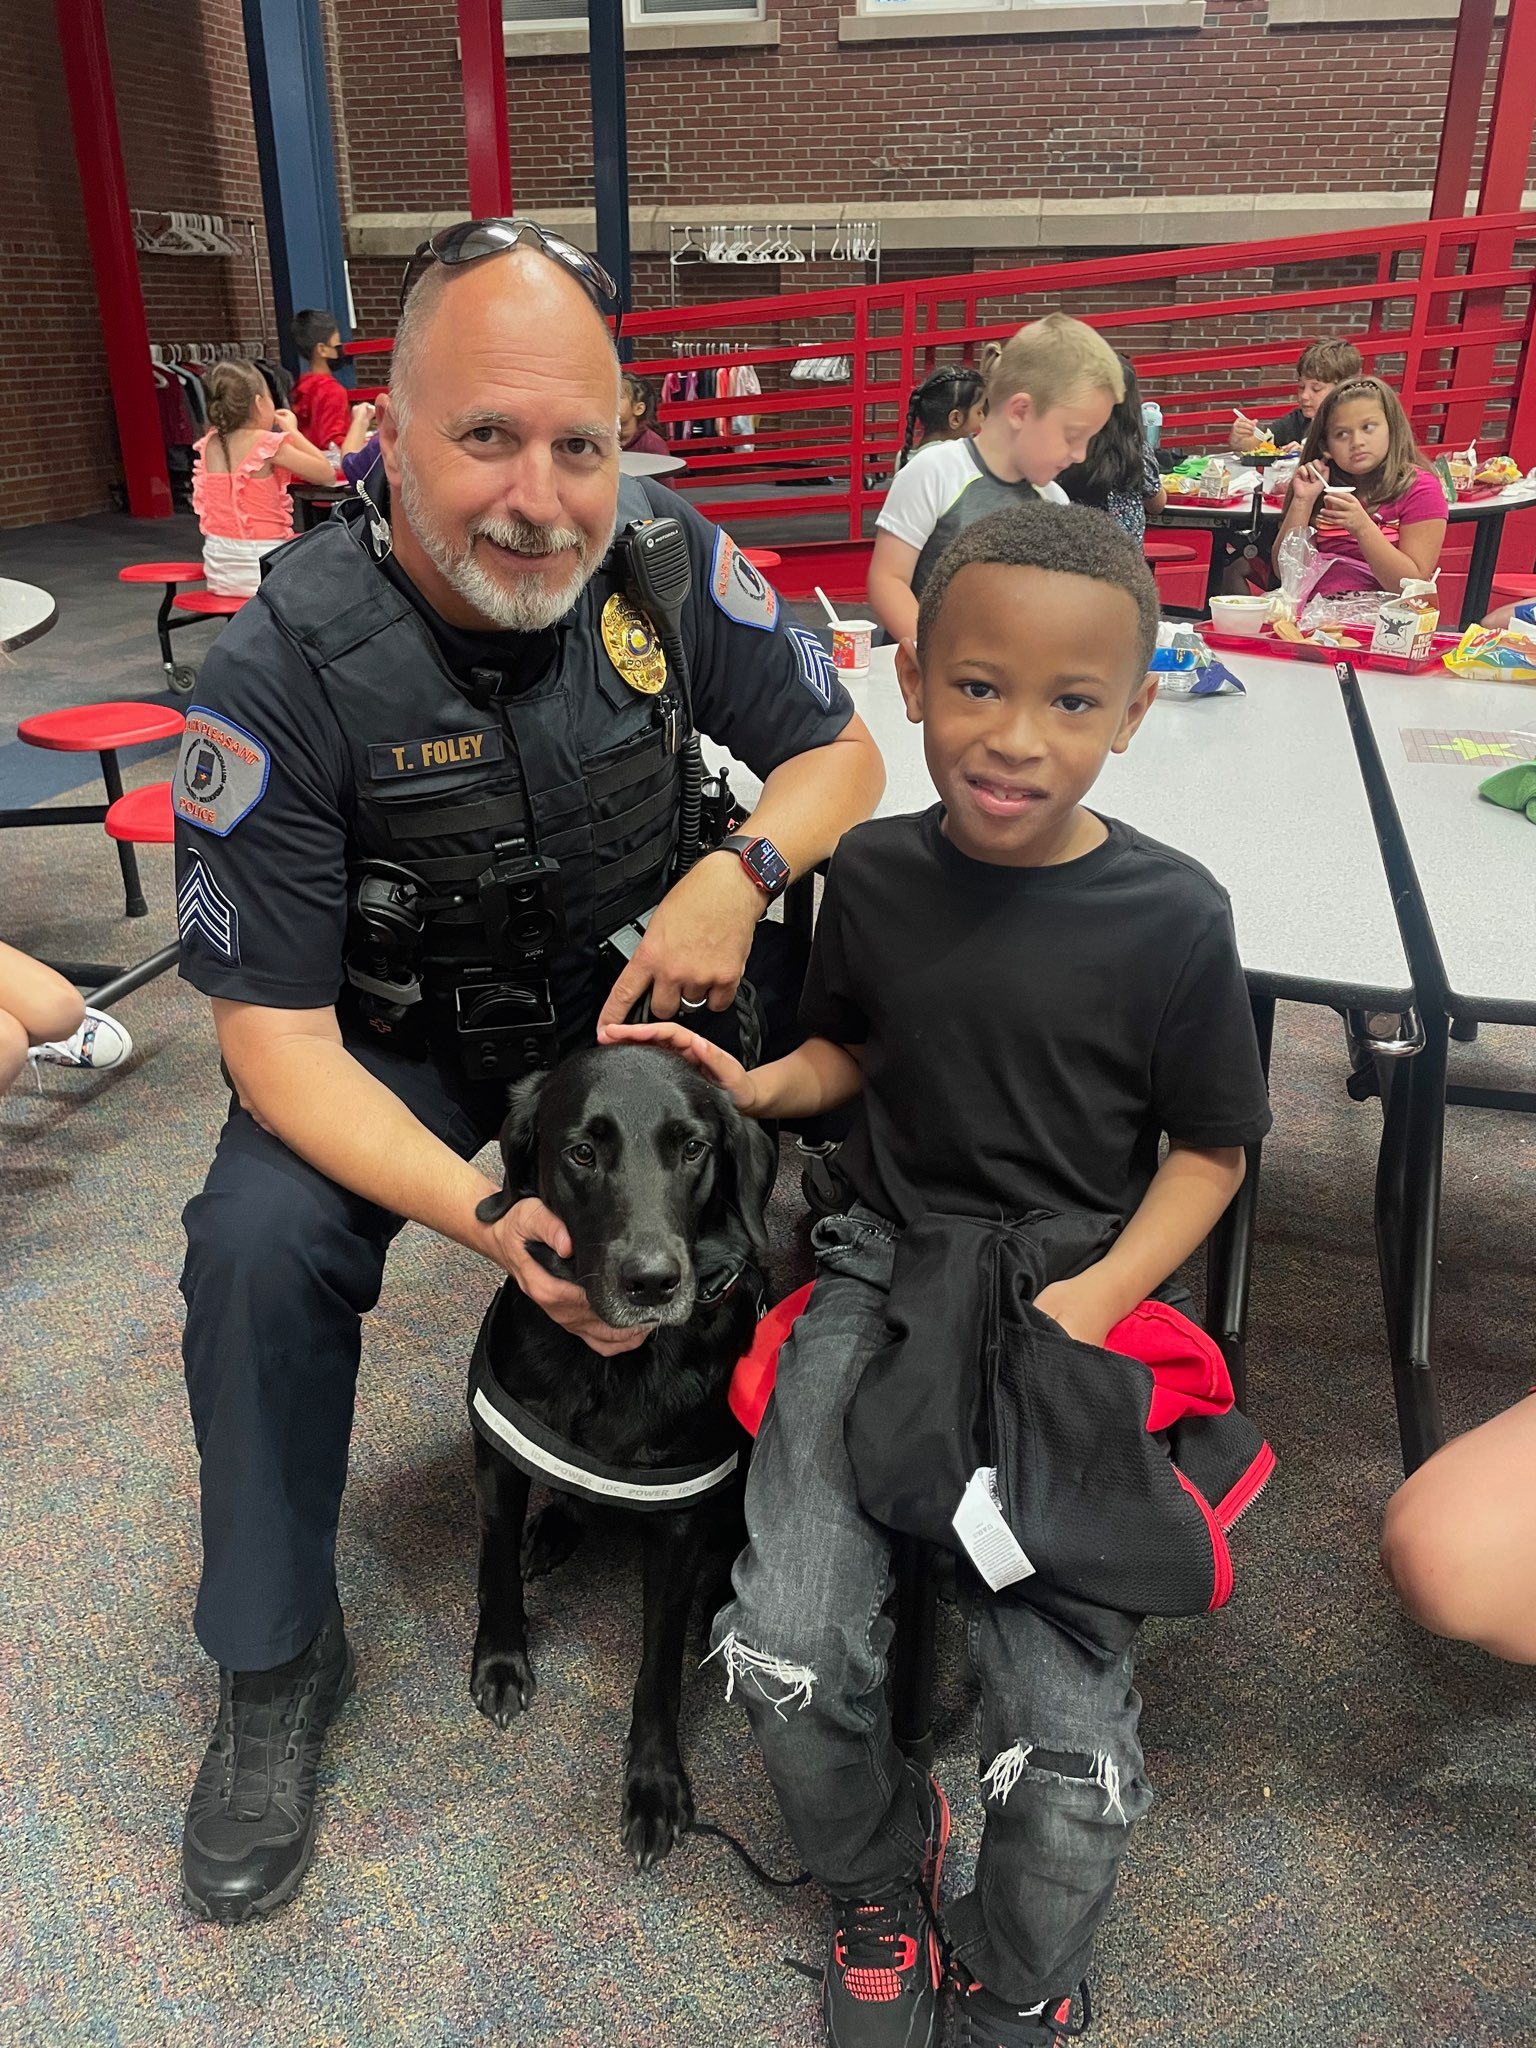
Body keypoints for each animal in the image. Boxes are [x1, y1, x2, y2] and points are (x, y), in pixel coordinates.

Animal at [468, 1048, 782, 1867]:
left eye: (694, 1149)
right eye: (582, 1152)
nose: (652, 1282)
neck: (611, 1363)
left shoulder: (677, 1523)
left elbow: (658, 1665)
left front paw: (654, 1784)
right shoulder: (500, 1455)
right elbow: (494, 1569)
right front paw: (500, 1663)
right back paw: (551, 1532)